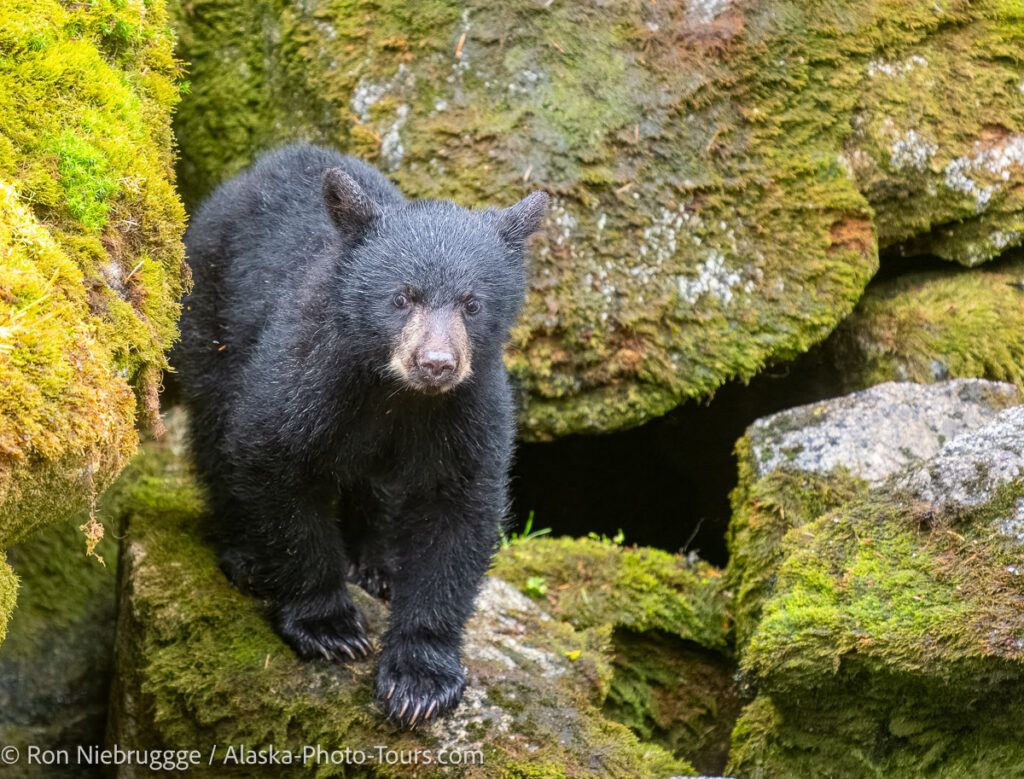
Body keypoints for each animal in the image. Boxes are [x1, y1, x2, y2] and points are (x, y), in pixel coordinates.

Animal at [173, 143, 547, 726]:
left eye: (471, 302)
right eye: (402, 298)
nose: (435, 364)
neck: (396, 393)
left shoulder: (467, 409)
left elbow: (457, 516)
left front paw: (421, 680)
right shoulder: (308, 378)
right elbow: (269, 463)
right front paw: (329, 627)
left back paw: (378, 563)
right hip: (209, 317)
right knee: (215, 428)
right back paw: (245, 556)